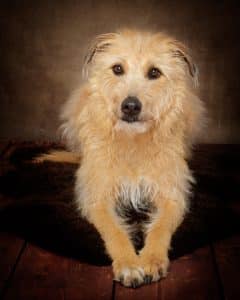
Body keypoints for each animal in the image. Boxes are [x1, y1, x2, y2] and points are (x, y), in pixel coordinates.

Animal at [37, 28, 204, 288]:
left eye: (154, 72)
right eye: (117, 69)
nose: (131, 106)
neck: (132, 141)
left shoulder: (172, 195)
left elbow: (160, 227)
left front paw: (151, 259)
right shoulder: (97, 197)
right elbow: (114, 230)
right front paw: (128, 264)